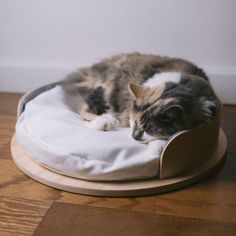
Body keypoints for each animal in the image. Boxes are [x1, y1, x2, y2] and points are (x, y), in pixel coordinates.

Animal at [60, 53, 220, 142]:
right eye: (136, 122)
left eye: (151, 128)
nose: (134, 137)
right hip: (103, 88)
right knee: (84, 109)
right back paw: (106, 121)